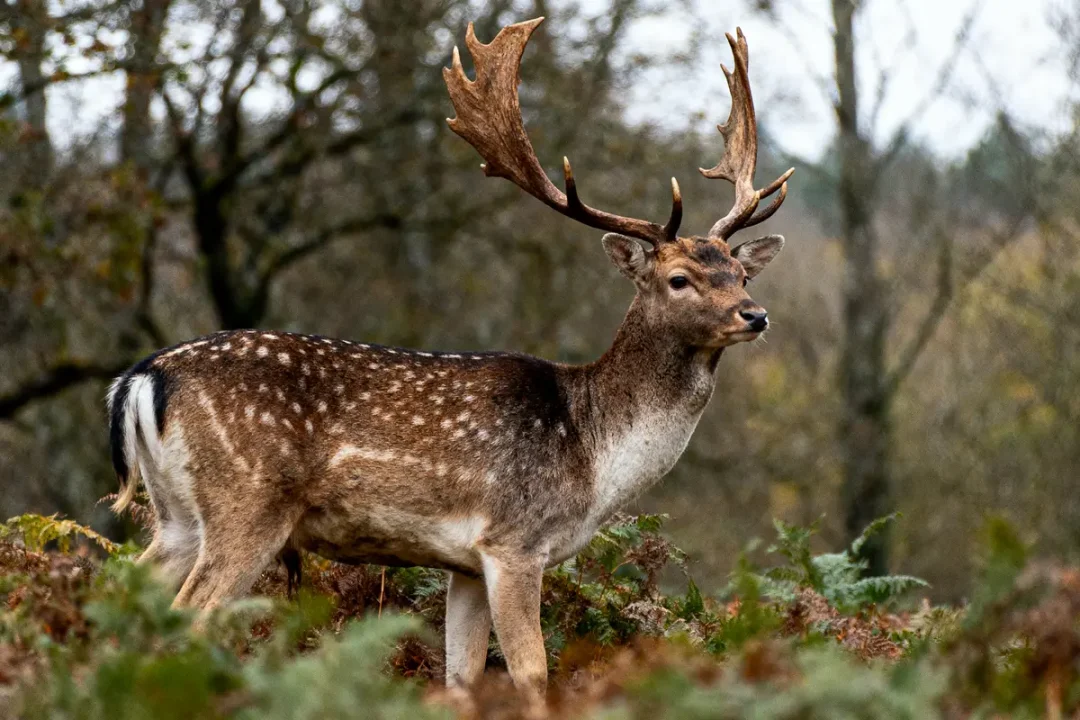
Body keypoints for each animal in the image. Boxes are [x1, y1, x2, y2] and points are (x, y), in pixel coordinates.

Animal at [106, 17, 792, 698]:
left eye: (738, 273)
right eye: (679, 279)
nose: (755, 315)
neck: (594, 455)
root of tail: (142, 378)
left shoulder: (464, 561)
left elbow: (461, 675)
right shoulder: (514, 541)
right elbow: (530, 671)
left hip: (176, 515)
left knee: (122, 605)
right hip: (247, 501)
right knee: (188, 618)